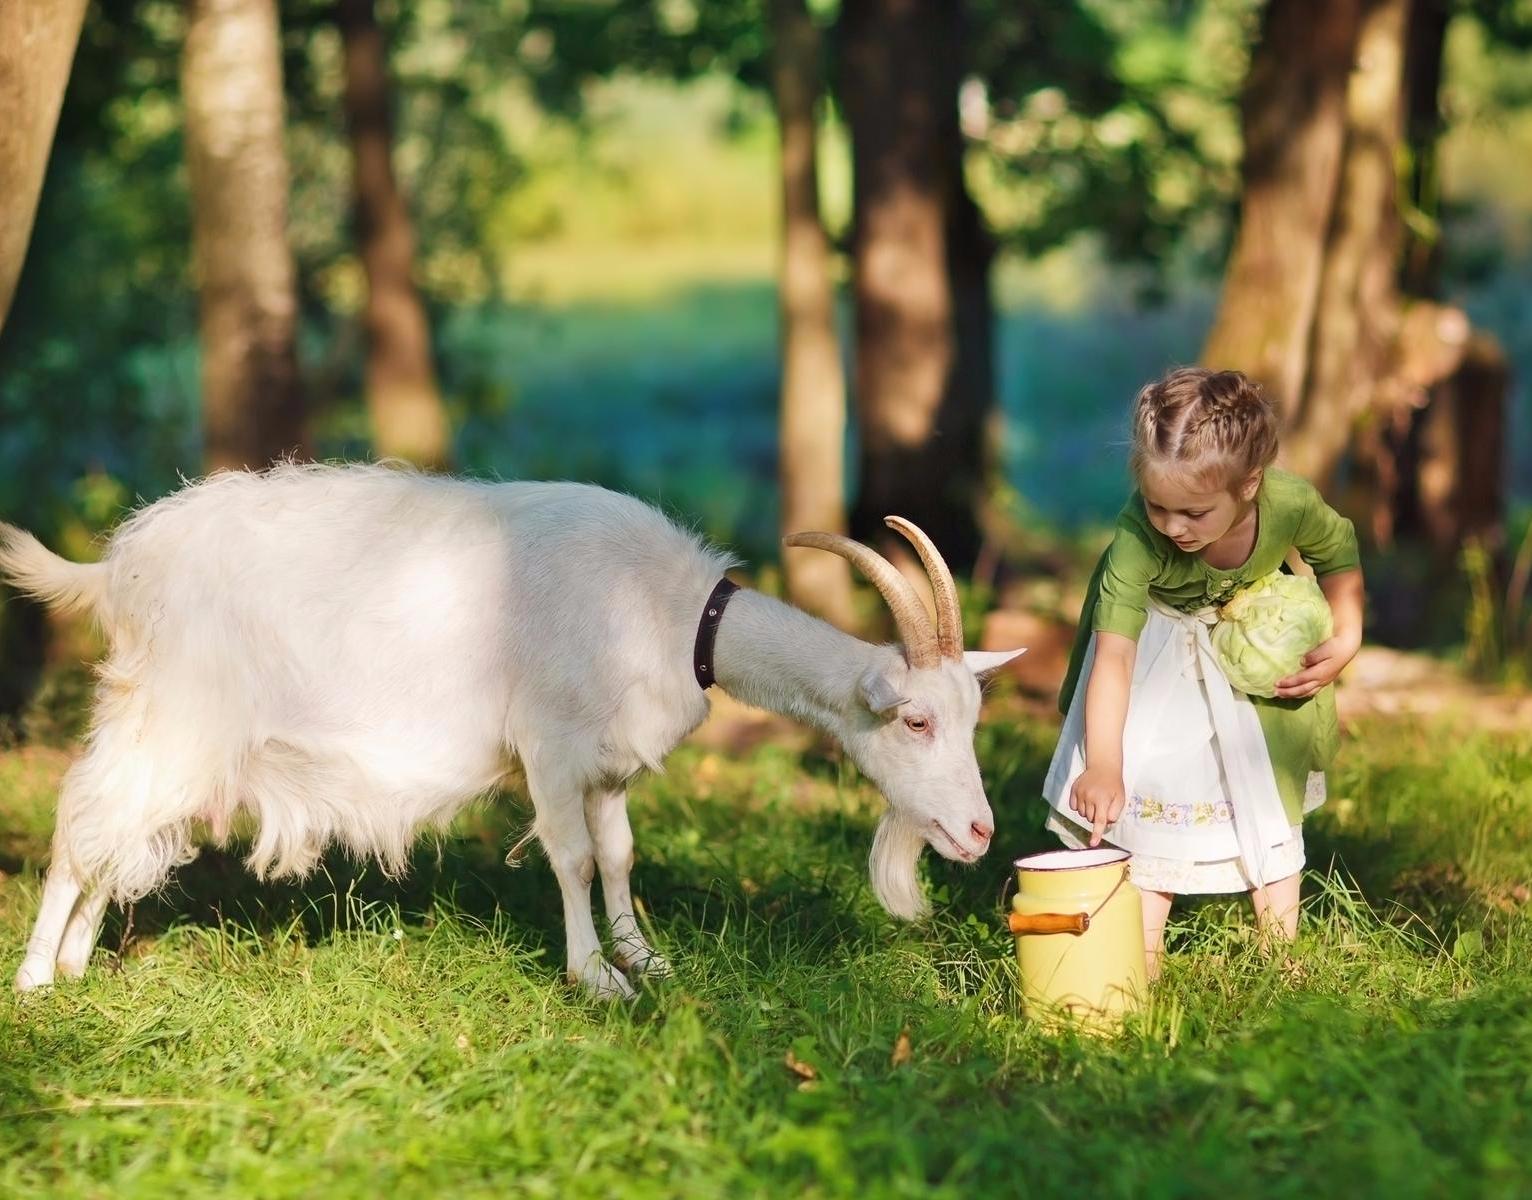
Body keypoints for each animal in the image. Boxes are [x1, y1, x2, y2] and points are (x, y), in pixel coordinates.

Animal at [9, 465, 1029, 999]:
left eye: (971, 716)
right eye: (915, 718)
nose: (980, 832)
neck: (665, 611)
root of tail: (119, 566)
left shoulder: (607, 763)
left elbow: (618, 855)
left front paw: (646, 956)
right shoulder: (548, 745)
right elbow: (571, 860)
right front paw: (595, 976)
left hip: (168, 733)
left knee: (119, 836)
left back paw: (76, 964)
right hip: (173, 716)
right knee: (82, 823)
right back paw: (34, 982)